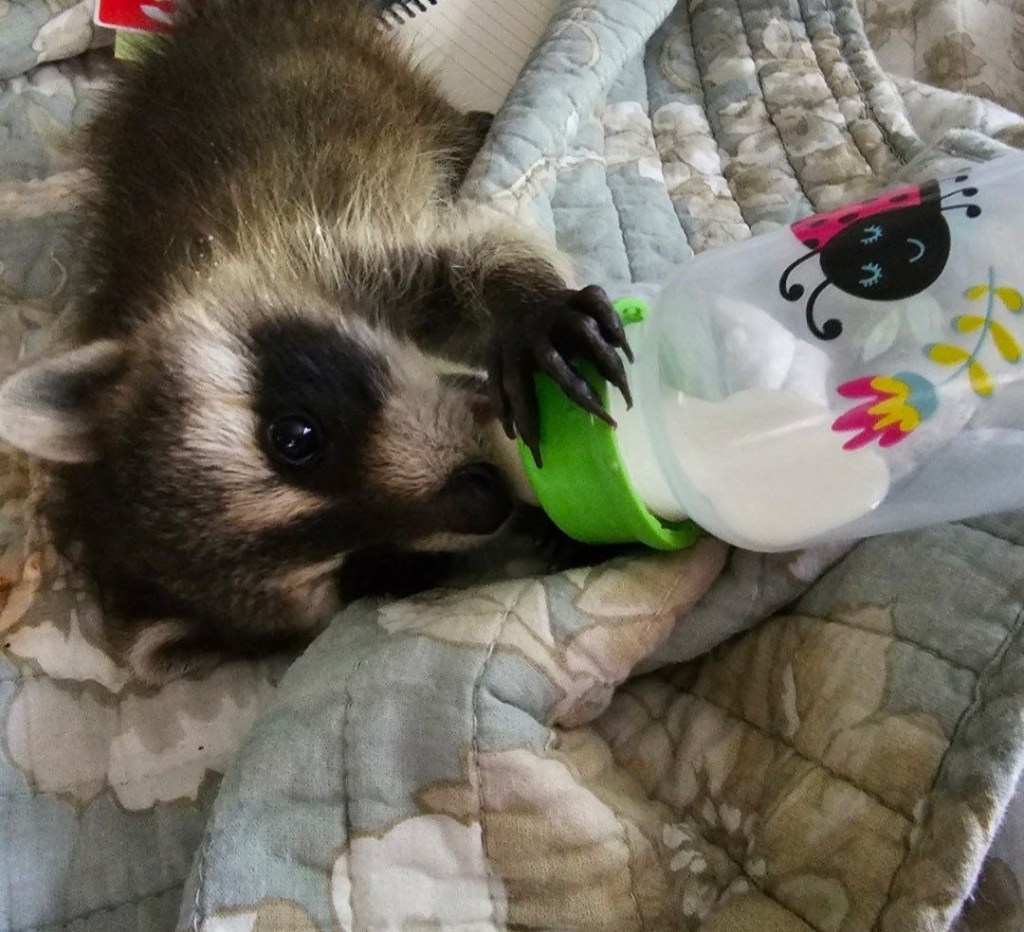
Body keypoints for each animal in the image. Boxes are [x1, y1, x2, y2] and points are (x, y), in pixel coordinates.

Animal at [0, 0, 632, 684]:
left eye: (295, 438)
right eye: (369, 569)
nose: (482, 500)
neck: (170, 295)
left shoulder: (319, 248)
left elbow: (472, 254)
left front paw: (529, 310)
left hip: (382, 80)